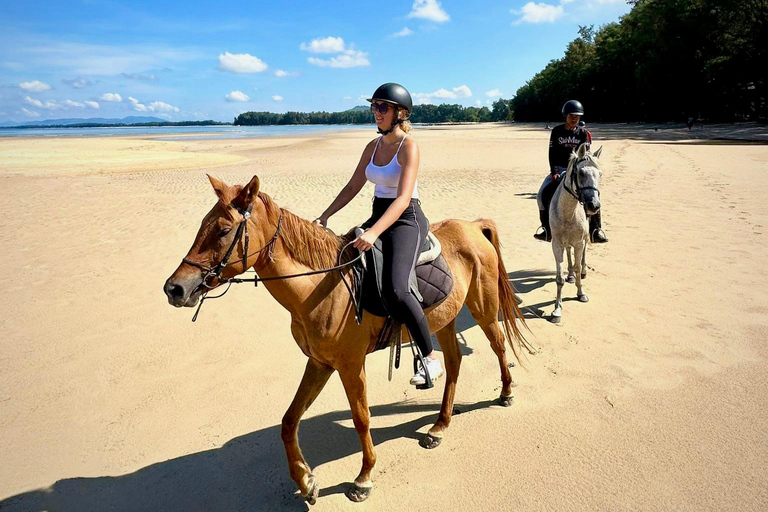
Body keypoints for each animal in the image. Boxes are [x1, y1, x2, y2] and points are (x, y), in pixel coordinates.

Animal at [164, 176, 536, 504]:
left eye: (224, 230)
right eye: (202, 225)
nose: (174, 288)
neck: (321, 287)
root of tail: (473, 226)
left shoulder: (350, 364)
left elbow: (361, 418)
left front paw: (363, 478)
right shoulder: (320, 363)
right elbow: (288, 421)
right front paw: (306, 481)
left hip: (483, 308)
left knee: (498, 346)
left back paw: (505, 393)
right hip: (443, 320)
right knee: (455, 361)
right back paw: (439, 425)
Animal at [548, 142, 604, 322]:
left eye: (600, 174)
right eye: (580, 173)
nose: (593, 205)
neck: (569, 212)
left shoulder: (579, 242)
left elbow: (579, 266)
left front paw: (581, 293)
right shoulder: (556, 244)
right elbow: (559, 277)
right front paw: (557, 309)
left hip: (584, 238)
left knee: (584, 252)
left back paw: (583, 271)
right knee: (568, 253)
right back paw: (571, 274)